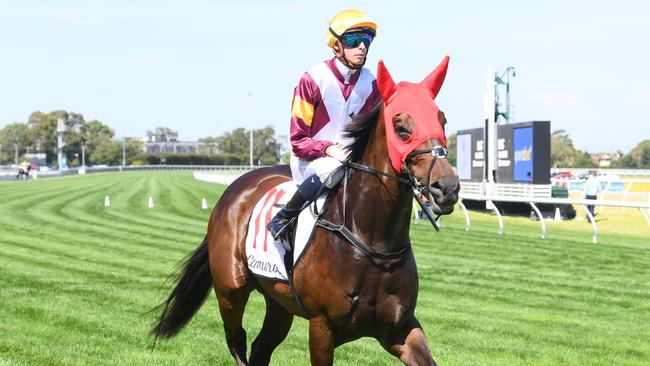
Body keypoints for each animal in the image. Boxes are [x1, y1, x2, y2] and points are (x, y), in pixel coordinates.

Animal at [152, 57, 458, 366]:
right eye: (400, 127)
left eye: (442, 120)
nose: (447, 187)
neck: (371, 240)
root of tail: (234, 190)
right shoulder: (322, 326)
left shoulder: (400, 327)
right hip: (230, 291)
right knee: (236, 340)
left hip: (278, 302)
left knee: (261, 346)